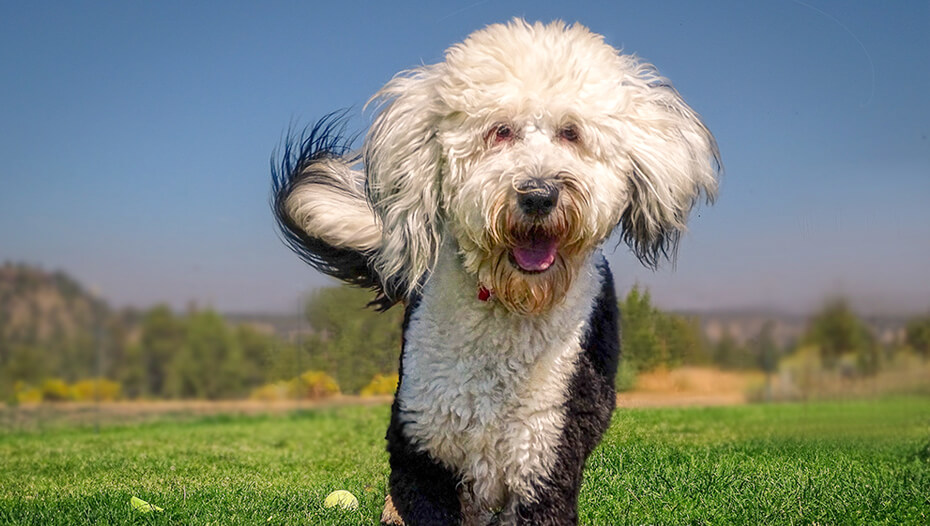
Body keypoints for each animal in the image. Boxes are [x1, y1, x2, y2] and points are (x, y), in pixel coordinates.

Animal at [268, 18, 716, 524]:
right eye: (500, 131)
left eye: (571, 133)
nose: (539, 194)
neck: (508, 306)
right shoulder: (425, 449)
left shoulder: (544, 456)